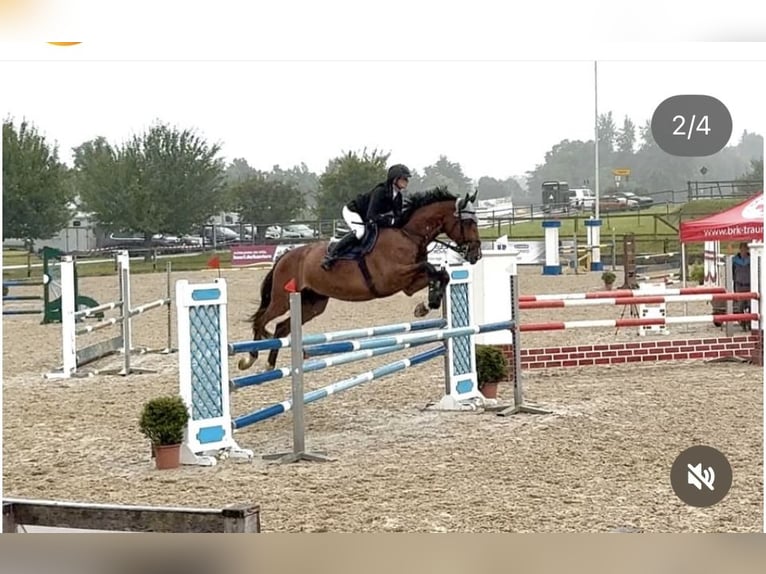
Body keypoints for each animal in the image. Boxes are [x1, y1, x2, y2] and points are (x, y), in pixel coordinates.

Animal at [237, 186, 483, 372]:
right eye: (470, 223)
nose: (476, 255)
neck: (408, 235)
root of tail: (286, 255)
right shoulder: (391, 277)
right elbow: (430, 267)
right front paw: (428, 303)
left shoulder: (408, 284)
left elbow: (441, 274)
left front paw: (426, 304)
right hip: (281, 298)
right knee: (262, 320)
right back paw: (249, 359)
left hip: (311, 304)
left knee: (281, 328)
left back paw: (270, 364)